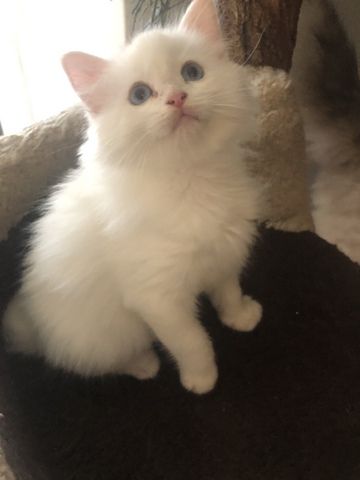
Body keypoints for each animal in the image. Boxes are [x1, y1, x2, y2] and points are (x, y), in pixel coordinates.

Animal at [2, 0, 262, 394]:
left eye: (192, 72)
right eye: (139, 95)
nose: (177, 97)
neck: (192, 180)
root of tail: (35, 327)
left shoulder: (226, 252)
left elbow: (228, 291)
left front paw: (241, 317)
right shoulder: (157, 298)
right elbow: (192, 341)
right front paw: (201, 380)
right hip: (108, 334)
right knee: (96, 362)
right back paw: (144, 364)